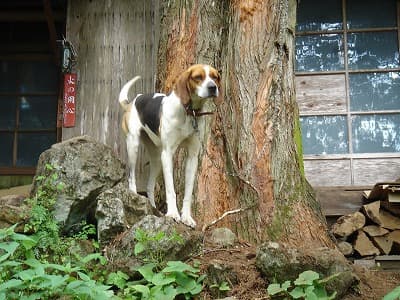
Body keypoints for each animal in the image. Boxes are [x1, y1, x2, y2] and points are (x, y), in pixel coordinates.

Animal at [119, 63, 222, 227]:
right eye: (198, 77)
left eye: (215, 77)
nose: (213, 87)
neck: (189, 112)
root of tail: (133, 101)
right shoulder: (168, 154)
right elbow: (170, 189)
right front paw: (173, 214)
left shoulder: (192, 157)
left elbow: (188, 192)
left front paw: (186, 217)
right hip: (133, 146)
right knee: (131, 176)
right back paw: (135, 196)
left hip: (156, 158)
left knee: (149, 186)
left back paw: (153, 208)